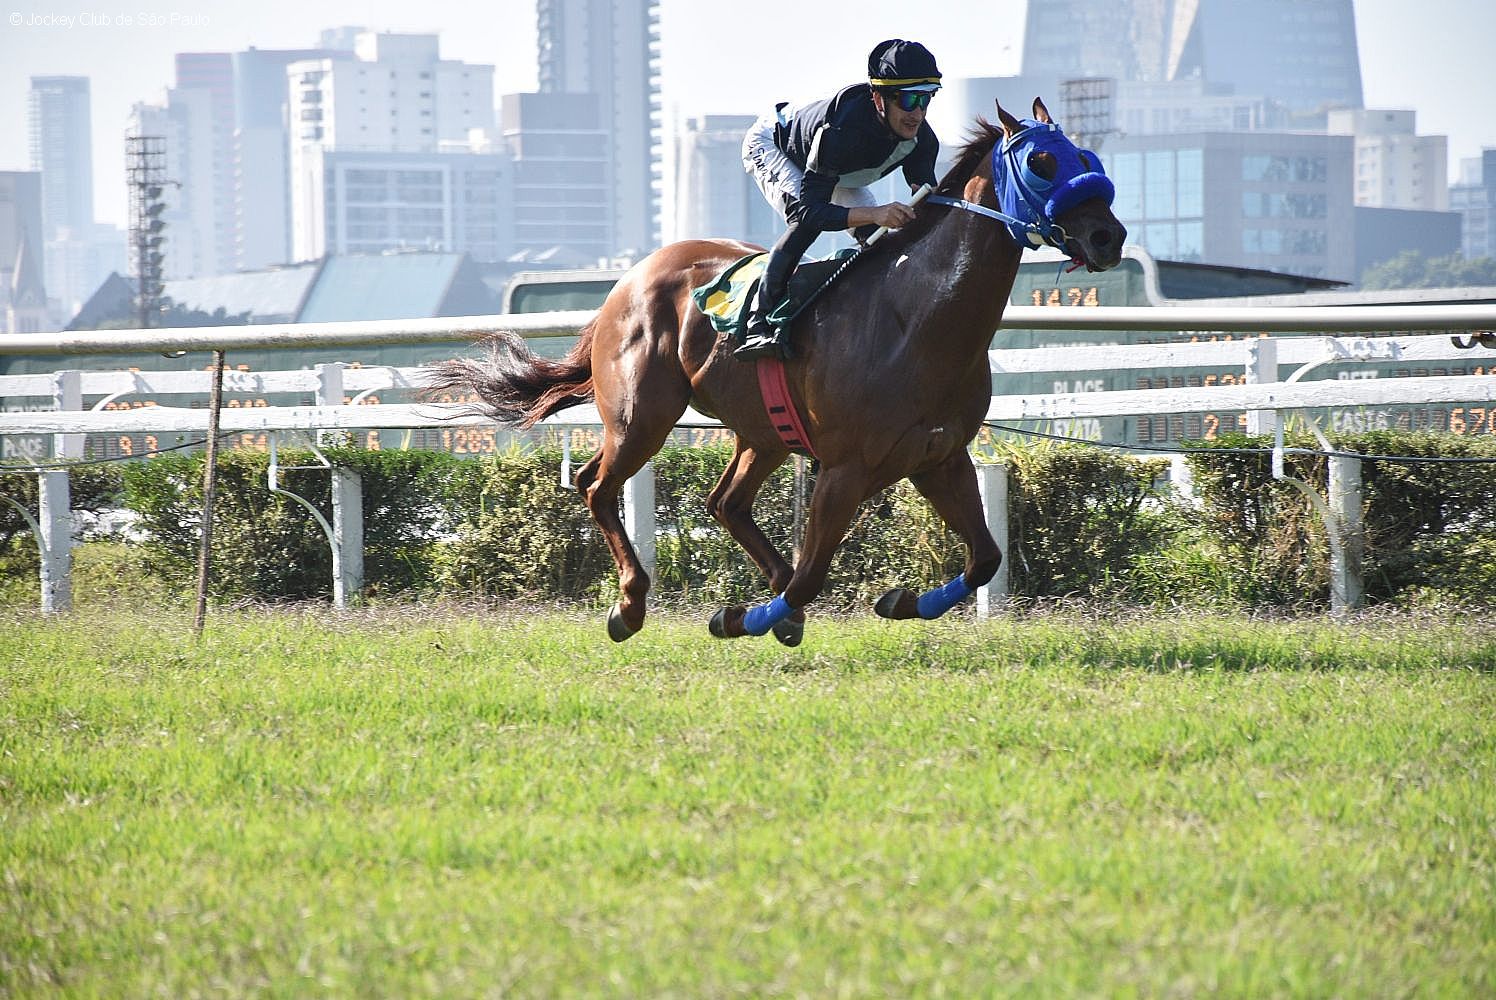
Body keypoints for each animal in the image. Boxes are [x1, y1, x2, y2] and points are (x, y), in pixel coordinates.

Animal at [430, 99, 1124, 640]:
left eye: (1086, 154)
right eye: (1041, 163)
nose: (1107, 237)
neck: (916, 319)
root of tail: (626, 280)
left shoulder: (938, 457)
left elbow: (984, 558)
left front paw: (901, 600)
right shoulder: (846, 469)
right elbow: (815, 575)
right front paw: (740, 617)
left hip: (761, 433)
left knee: (723, 503)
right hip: (640, 417)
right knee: (597, 484)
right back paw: (631, 605)